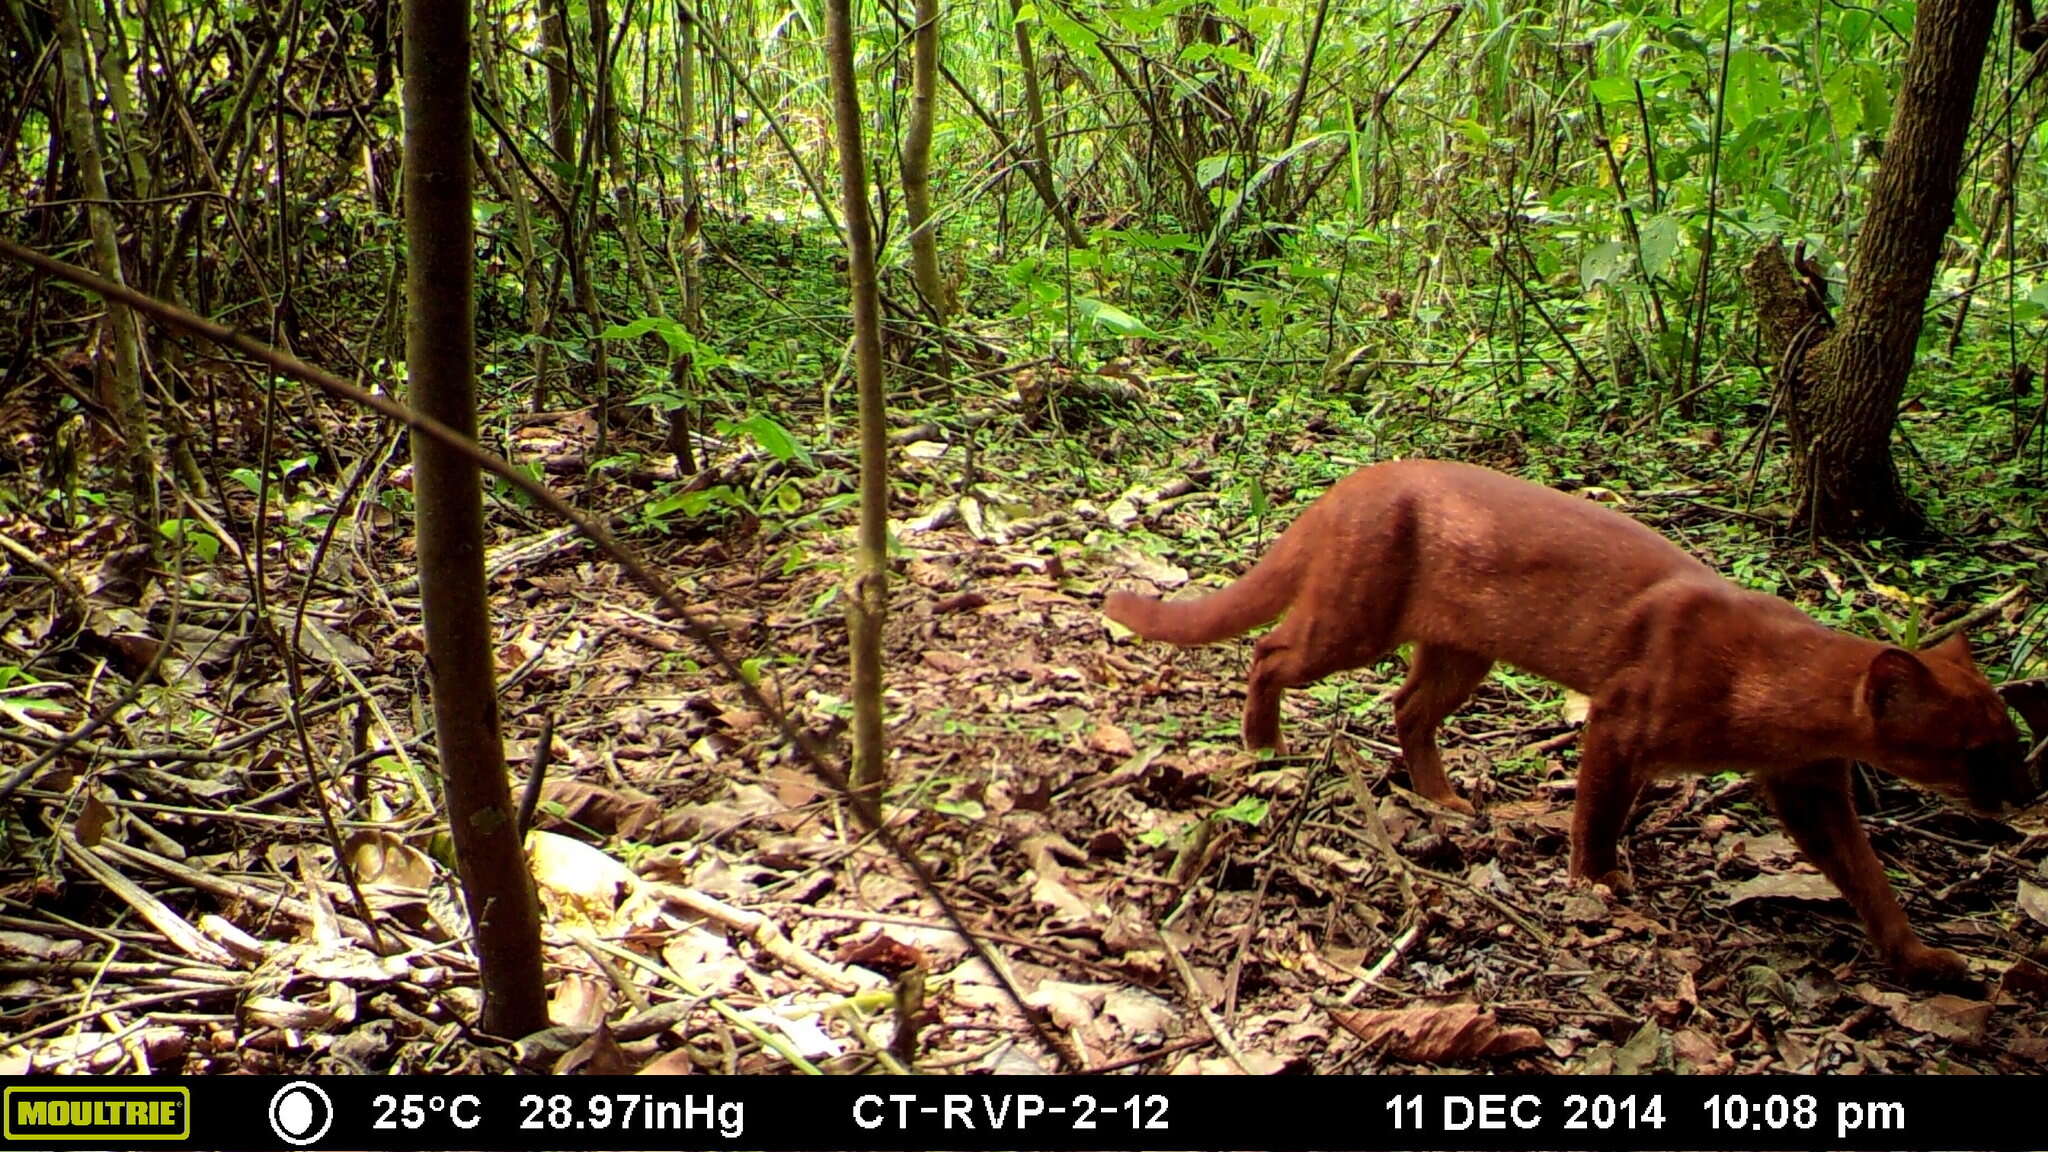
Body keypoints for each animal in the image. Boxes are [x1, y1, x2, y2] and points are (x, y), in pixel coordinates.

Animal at [1114, 457, 2039, 988]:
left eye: (2012, 741)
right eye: (1979, 750)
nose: (2027, 795)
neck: (1779, 681)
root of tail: (1352, 483)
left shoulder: (1808, 784)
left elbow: (1870, 878)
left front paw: (1926, 961)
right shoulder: (1623, 718)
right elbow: (1599, 809)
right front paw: (1599, 884)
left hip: (1460, 649)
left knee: (1406, 706)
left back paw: (1444, 801)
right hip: (1356, 616)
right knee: (1270, 651)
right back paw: (1264, 747)